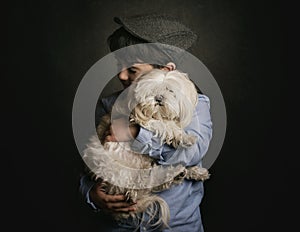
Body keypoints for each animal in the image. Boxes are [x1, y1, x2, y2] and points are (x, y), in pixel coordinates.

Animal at [82, 69, 209, 230]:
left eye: (170, 90)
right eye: (151, 91)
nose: (158, 98)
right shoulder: (139, 118)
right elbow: (164, 125)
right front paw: (184, 137)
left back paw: (190, 172)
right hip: (119, 171)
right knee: (141, 185)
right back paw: (173, 174)